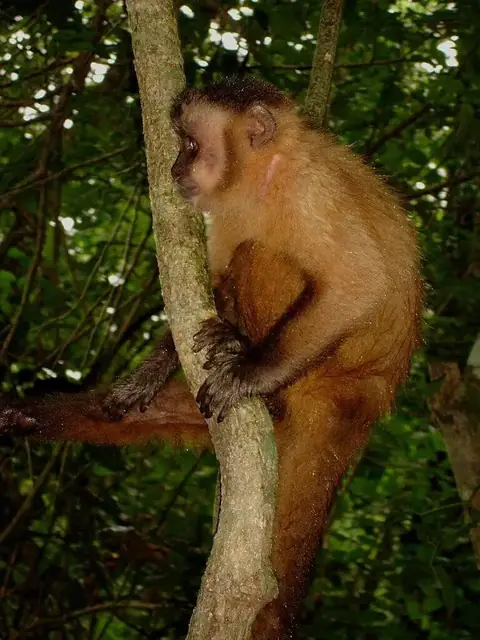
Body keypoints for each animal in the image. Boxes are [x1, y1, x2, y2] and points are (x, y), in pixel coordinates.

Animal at [0, 76, 422, 639]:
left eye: (193, 145)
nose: (176, 168)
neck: (264, 180)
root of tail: (369, 403)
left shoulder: (311, 190)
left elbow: (360, 283)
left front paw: (250, 371)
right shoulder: (225, 209)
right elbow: (213, 280)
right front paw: (150, 371)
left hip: (332, 375)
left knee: (263, 255)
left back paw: (253, 368)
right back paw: (29, 414)